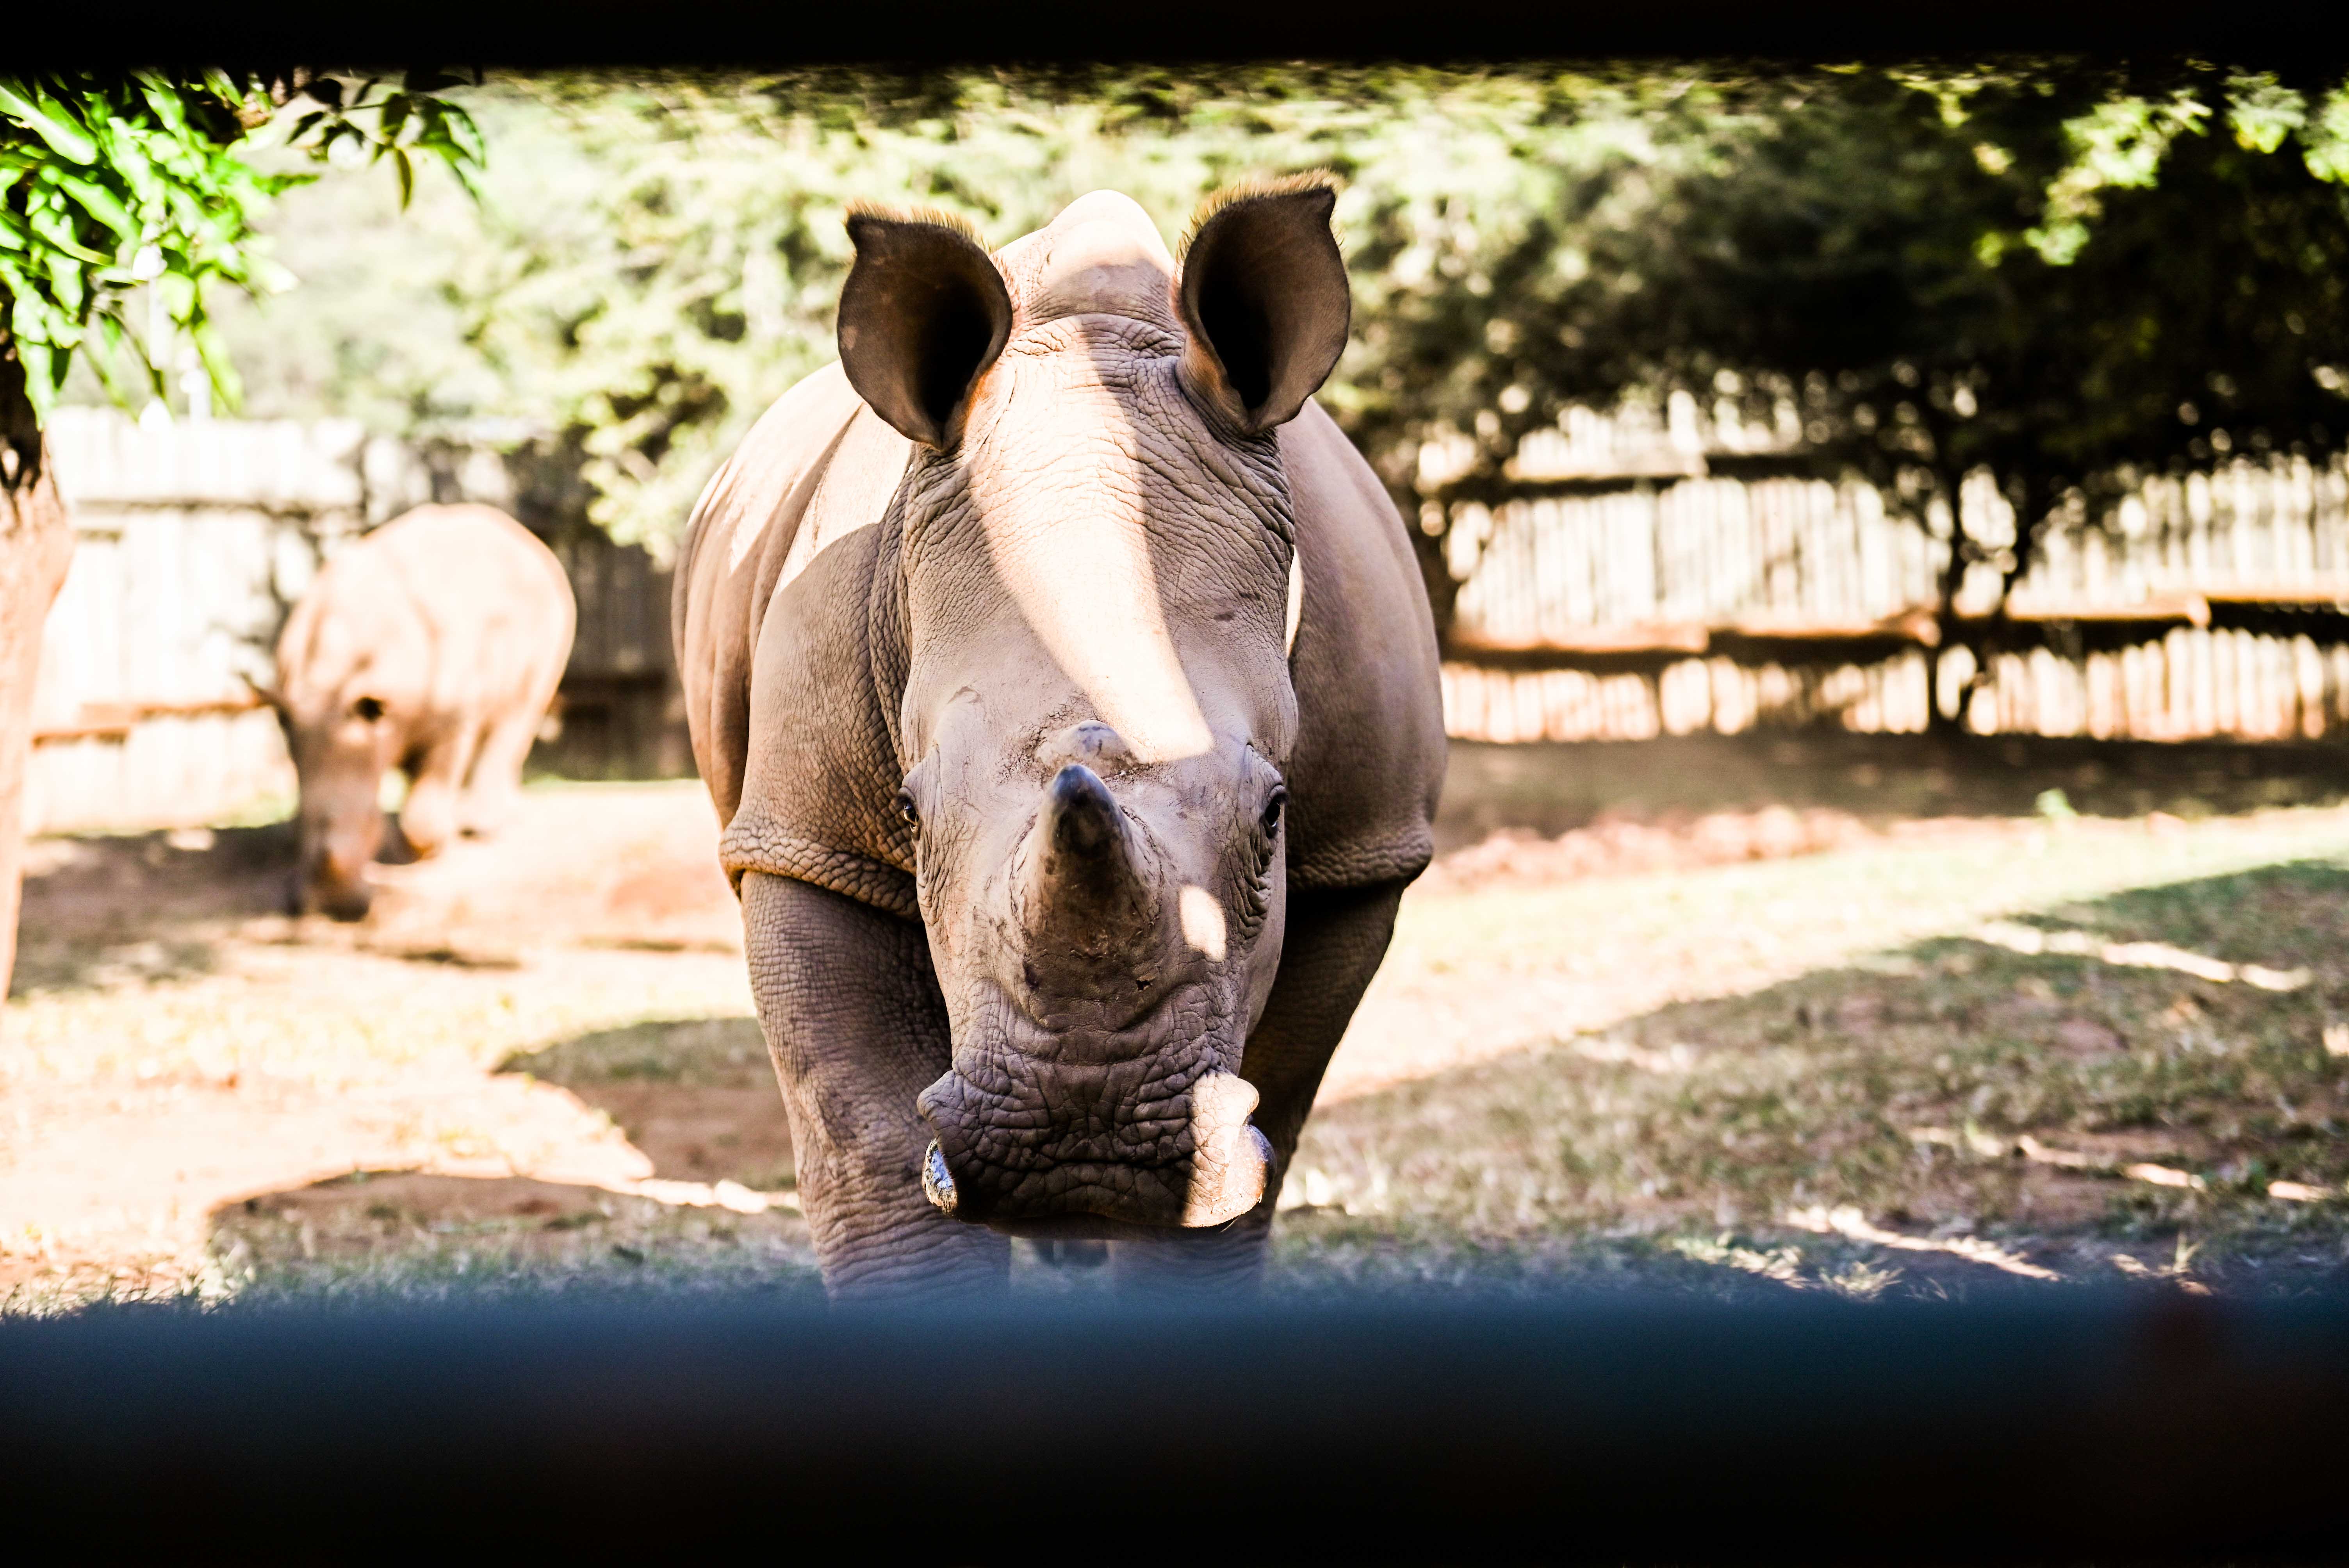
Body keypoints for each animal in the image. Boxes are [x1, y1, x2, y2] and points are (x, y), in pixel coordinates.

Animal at [264, 503, 576, 920]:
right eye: (302, 828)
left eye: (370, 823)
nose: (333, 910)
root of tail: (525, 537)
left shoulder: (451, 719)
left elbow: (425, 809)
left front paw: (420, 851)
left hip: (552, 606)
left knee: (521, 709)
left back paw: (482, 828)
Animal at [675, 182, 1445, 1295]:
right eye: (909, 811)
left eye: (1274, 812)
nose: (1085, 1145)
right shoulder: (805, 841)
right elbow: (869, 1146)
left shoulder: (1360, 854)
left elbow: (1251, 1151)